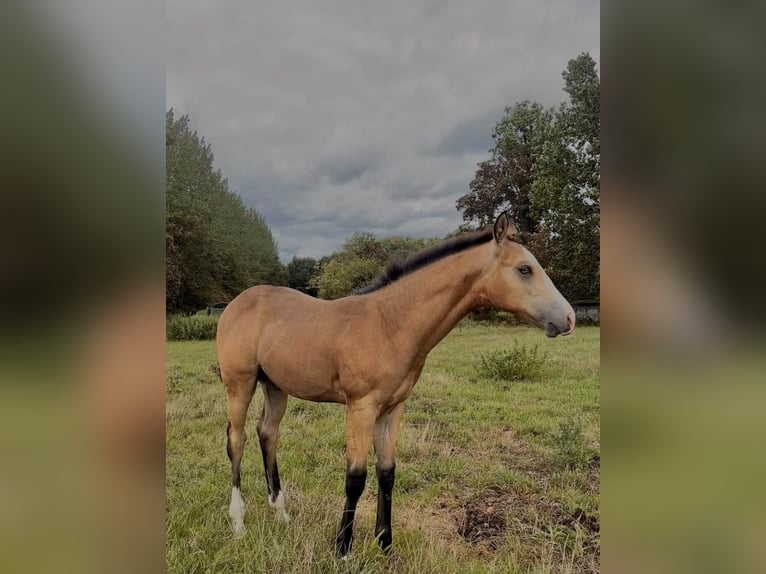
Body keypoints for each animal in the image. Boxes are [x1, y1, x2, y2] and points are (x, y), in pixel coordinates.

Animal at [216, 211, 575, 557]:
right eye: (524, 269)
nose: (569, 317)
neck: (389, 324)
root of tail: (236, 303)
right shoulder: (361, 407)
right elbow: (355, 477)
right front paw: (343, 548)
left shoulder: (393, 408)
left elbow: (386, 472)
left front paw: (384, 544)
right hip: (240, 383)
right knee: (237, 439)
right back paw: (238, 524)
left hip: (275, 386)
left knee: (268, 433)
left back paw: (281, 514)